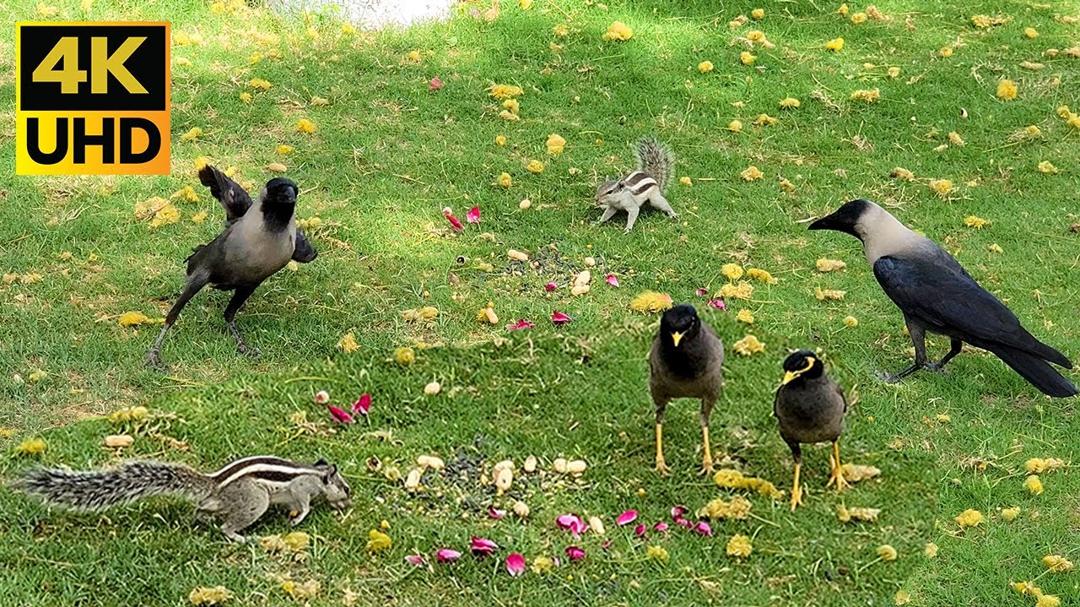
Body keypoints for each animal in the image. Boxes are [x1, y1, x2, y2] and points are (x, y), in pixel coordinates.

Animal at [13, 455, 351, 542]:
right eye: (346, 487)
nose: (349, 501)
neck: (315, 473)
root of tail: (214, 487)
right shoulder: (301, 487)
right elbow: (302, 503)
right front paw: (300, 517)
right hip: (255, 501)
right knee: (227, 526)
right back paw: (241, 538)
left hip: (223, 503)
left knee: (205, 511)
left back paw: (200, 518)